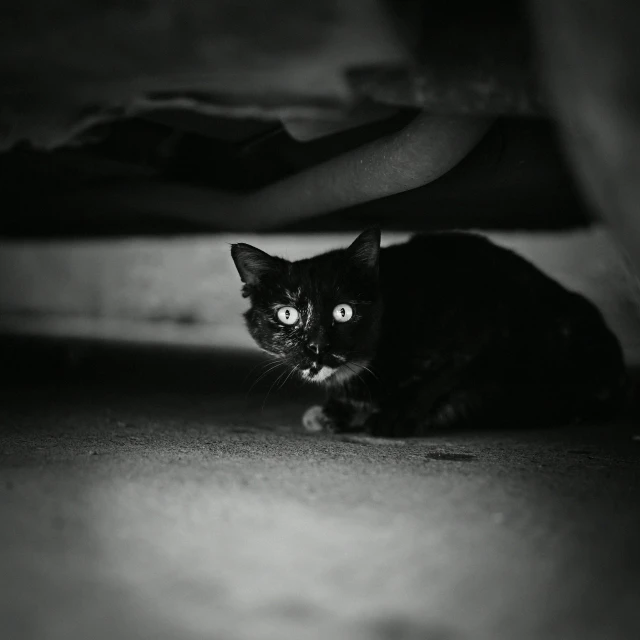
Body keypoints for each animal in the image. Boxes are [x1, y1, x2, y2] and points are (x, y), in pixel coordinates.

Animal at [230, 228, 624, 438]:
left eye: (344, 312)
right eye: (287, 314)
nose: (316, 346)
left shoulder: (481, 328)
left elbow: (439, 377)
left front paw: (393, 416)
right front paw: (334, 412)